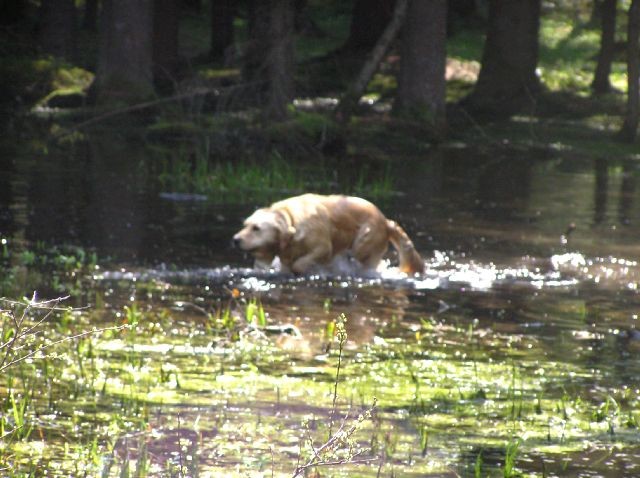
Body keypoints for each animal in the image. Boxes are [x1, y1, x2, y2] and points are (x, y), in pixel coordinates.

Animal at [231, 193, 424, 274]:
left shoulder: (323, 247)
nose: (235, 240)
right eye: (245, 225)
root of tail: (385, 221)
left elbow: (300, 264)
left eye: (256, 228)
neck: (291, 221)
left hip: (363, 244)